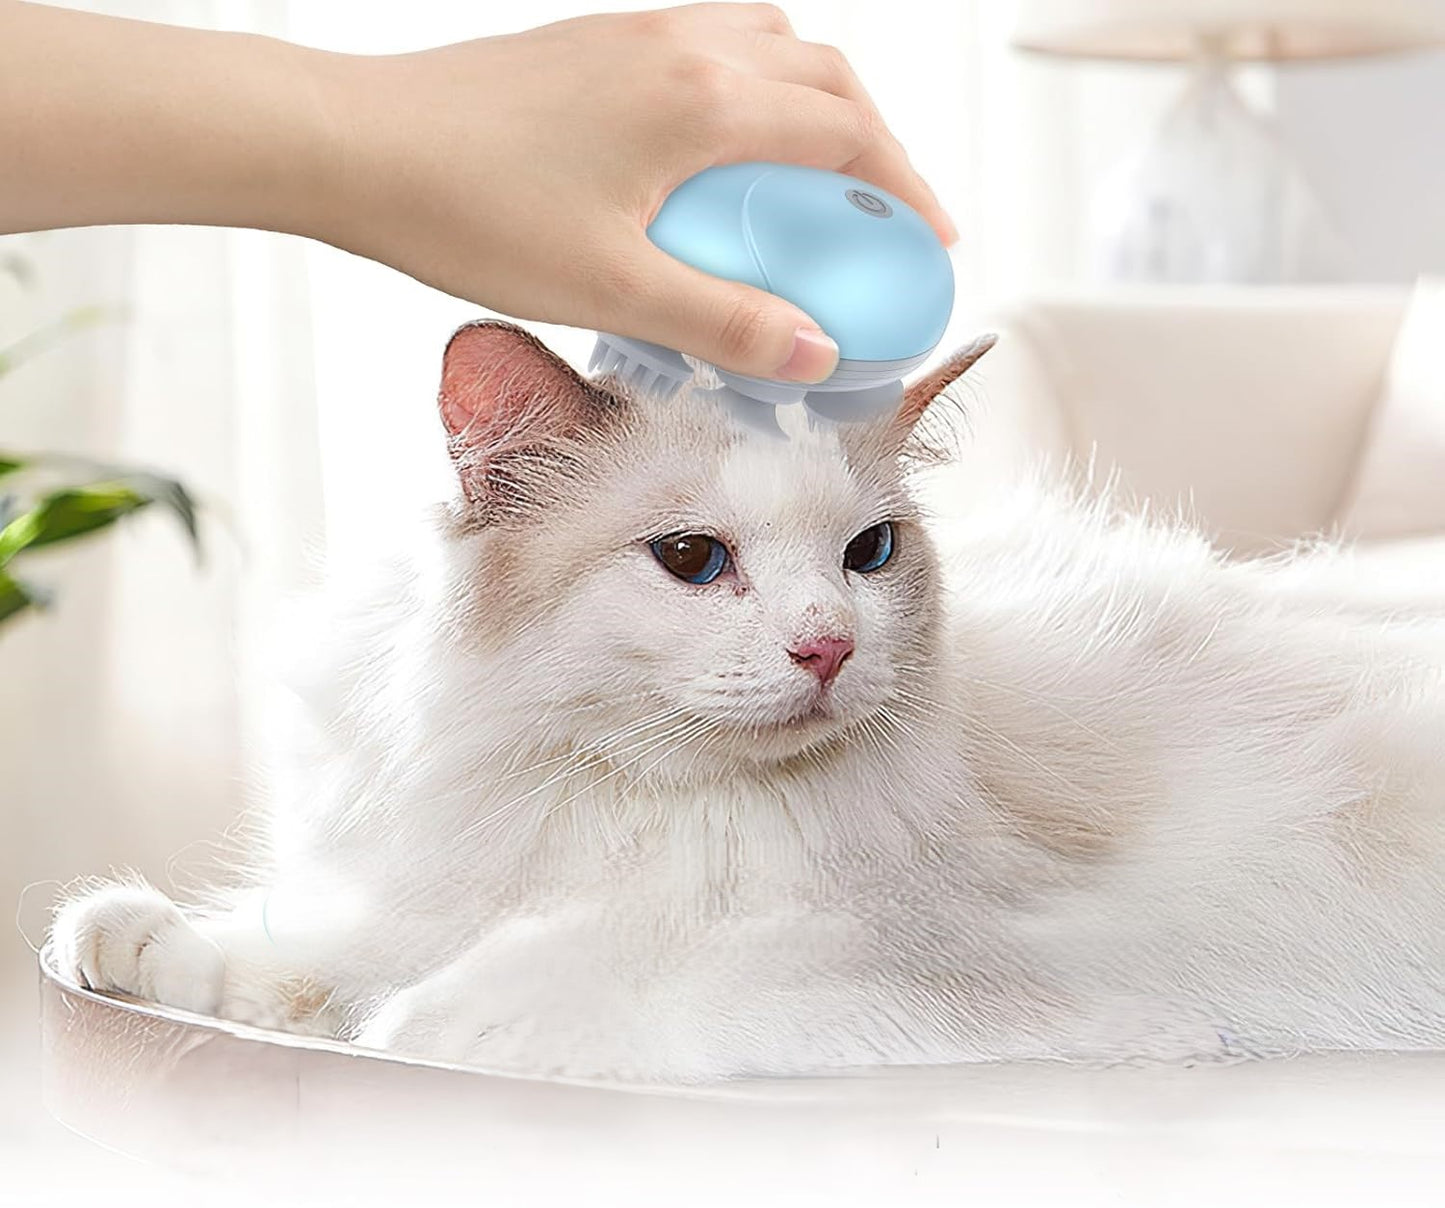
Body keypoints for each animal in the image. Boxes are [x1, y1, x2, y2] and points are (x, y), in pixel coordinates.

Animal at [50, 320, 1445, 1086]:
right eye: (690, 559)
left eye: (868, 554)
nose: (828, 646)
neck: (612, 794)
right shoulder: (439, 874)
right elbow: (304, 957)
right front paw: (135, 943)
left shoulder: (954, 963)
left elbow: (560, 989)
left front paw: (421, 1021)